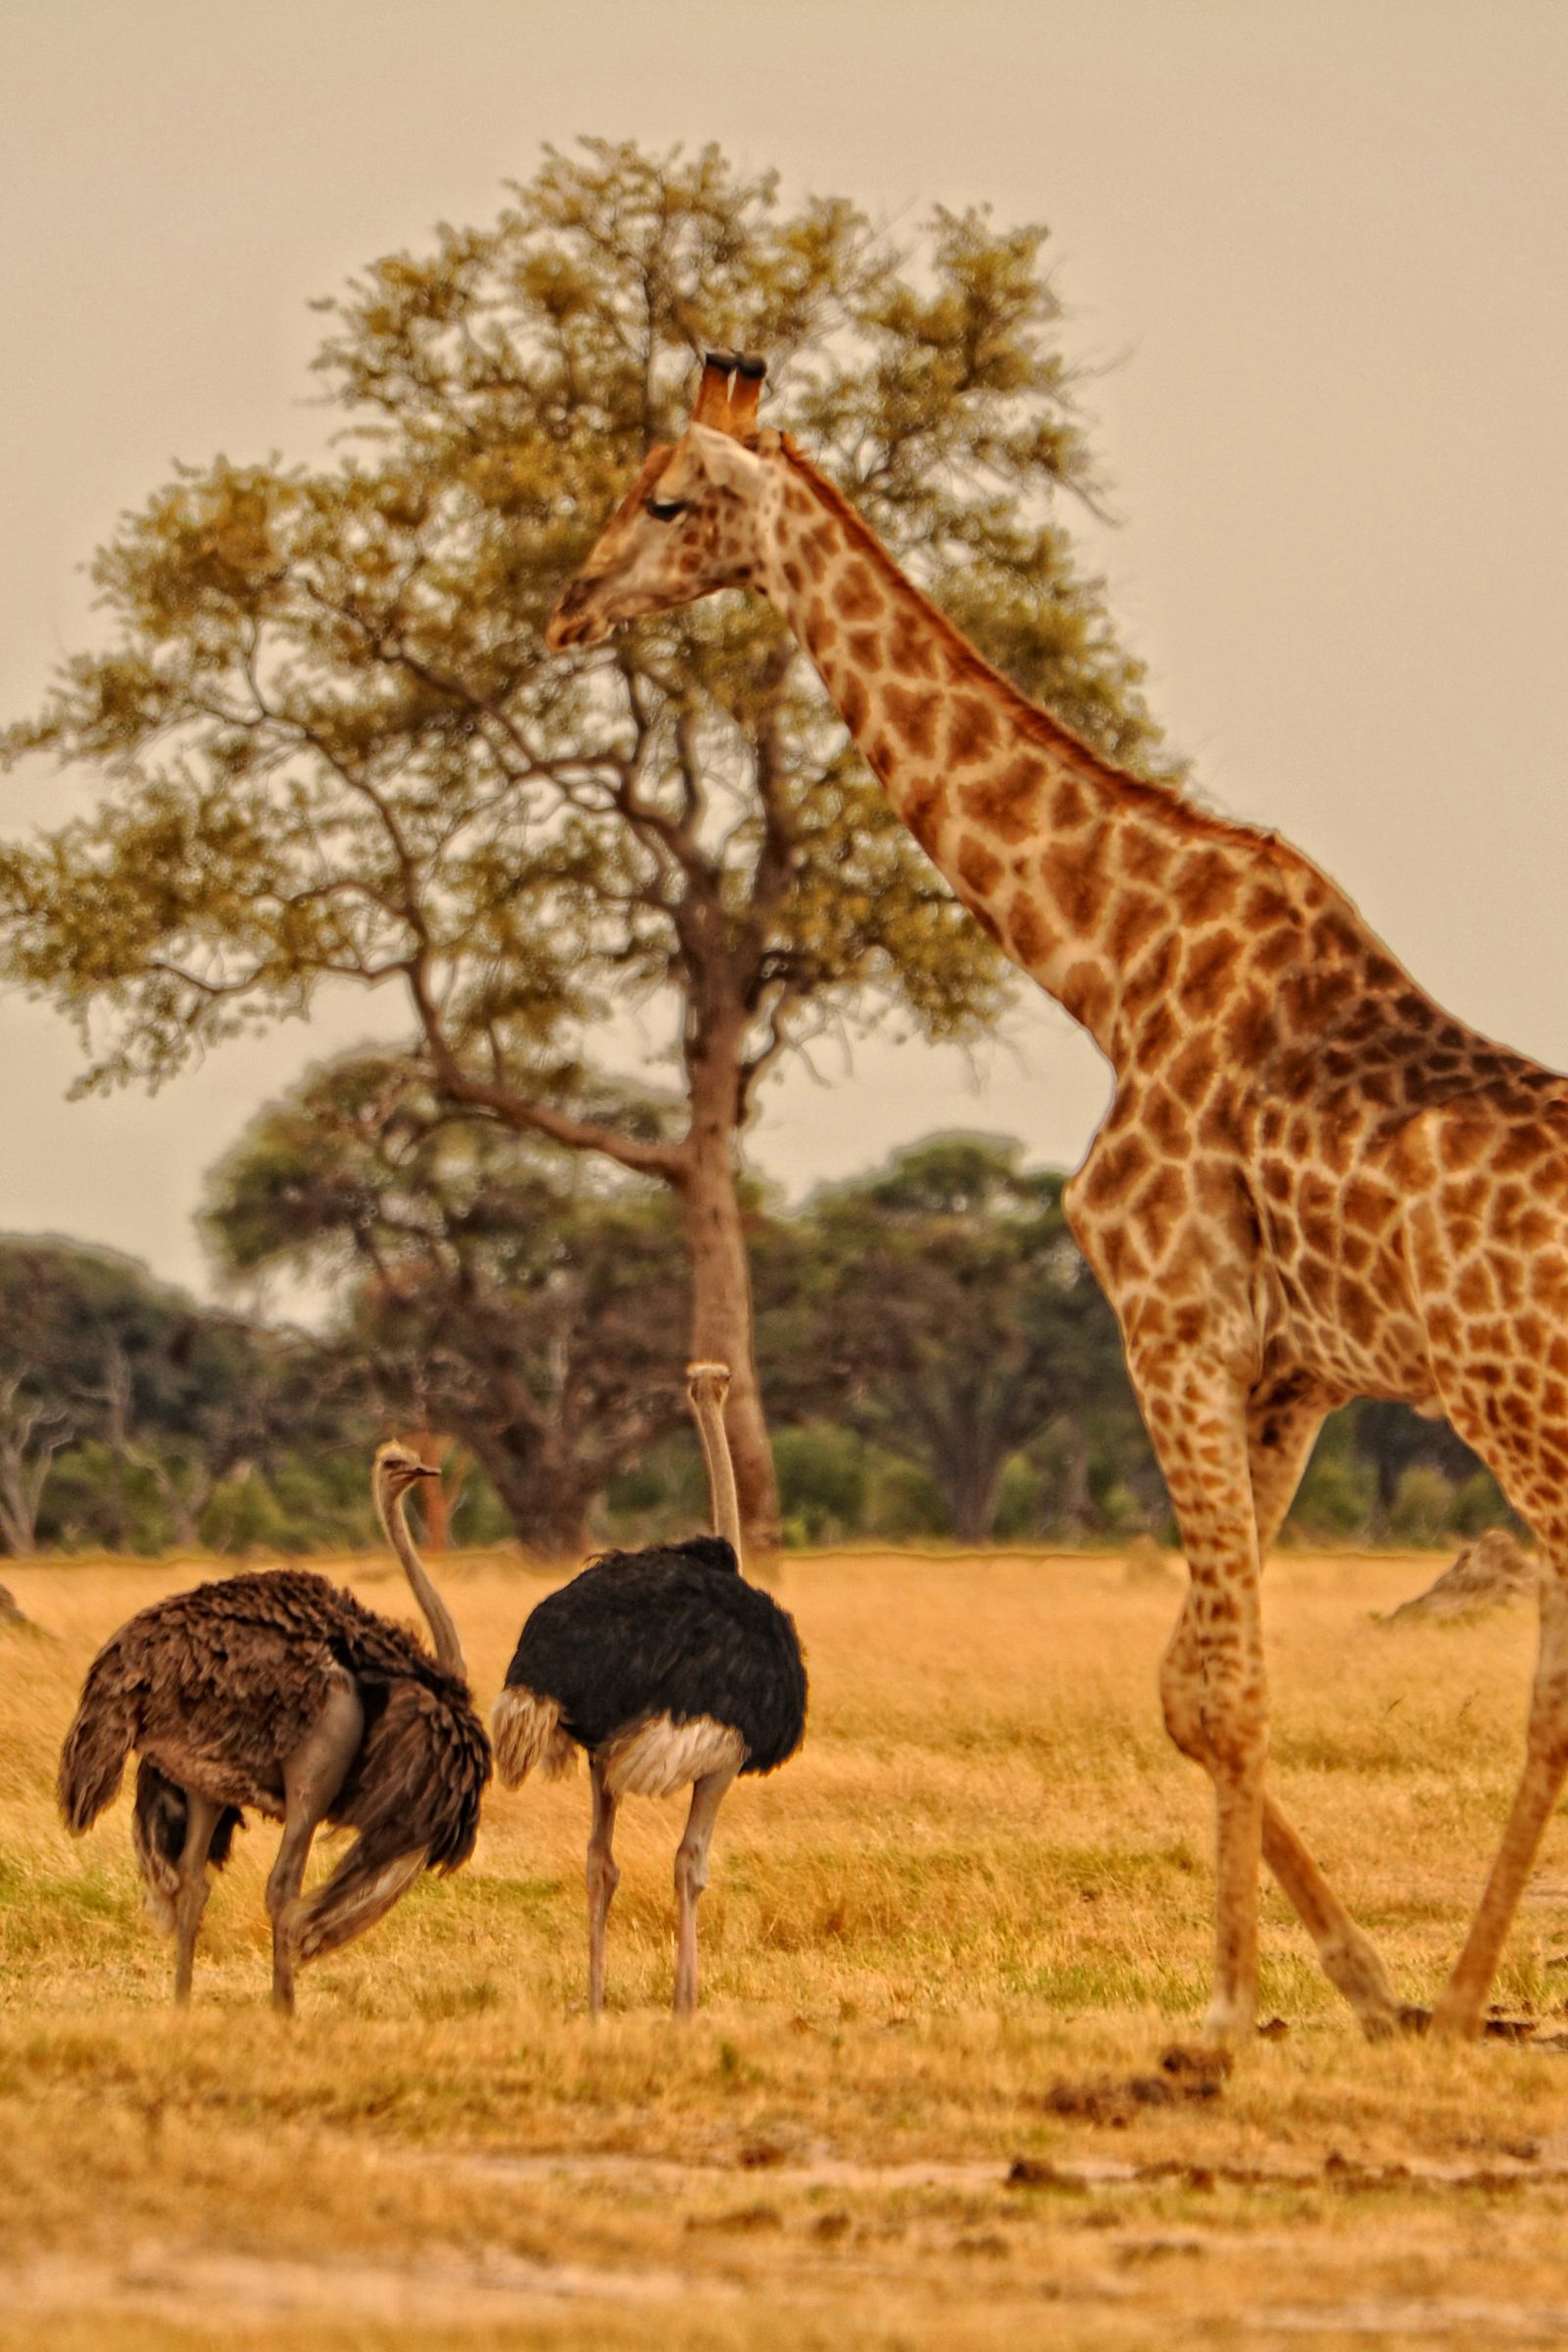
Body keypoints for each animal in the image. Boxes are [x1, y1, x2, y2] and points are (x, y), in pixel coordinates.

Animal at [547, 348, 1568, 2046]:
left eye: (669, 498)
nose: (566, 608)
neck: (1111, 967)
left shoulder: (1172, 1315)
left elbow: (1216, 1688)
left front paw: (1231, 2003)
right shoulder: (1284, 1373)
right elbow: (1190, 1676)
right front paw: (1370, 1990)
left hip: (1524, 1418)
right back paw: (1463, 1996)